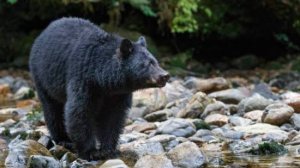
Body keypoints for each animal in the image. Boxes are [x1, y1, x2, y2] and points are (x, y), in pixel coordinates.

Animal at [29, 17, 170, 161]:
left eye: (156, 61)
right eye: (147, 64)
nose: (165, 75)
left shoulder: (117, 94)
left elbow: (113, 117)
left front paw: (108, 150)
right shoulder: (83, 79)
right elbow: (80, 112)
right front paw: (90, 152)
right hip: (43, 77)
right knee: (52, 109)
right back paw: (63, 140)